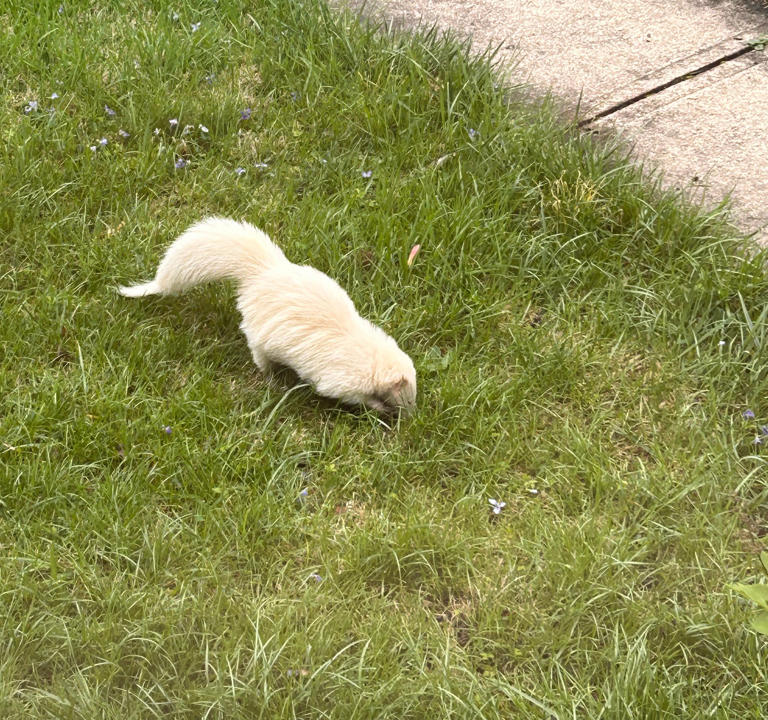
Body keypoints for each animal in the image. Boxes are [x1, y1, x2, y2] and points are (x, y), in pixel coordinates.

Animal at [119, 217, 416, 414]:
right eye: (408, 395)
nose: (412, 413)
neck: (372, 356)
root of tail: (261, 271)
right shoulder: (340, 377)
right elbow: (345, 394)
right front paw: (378, 407)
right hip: (259, 332)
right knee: (258, 352)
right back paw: (271, 377)